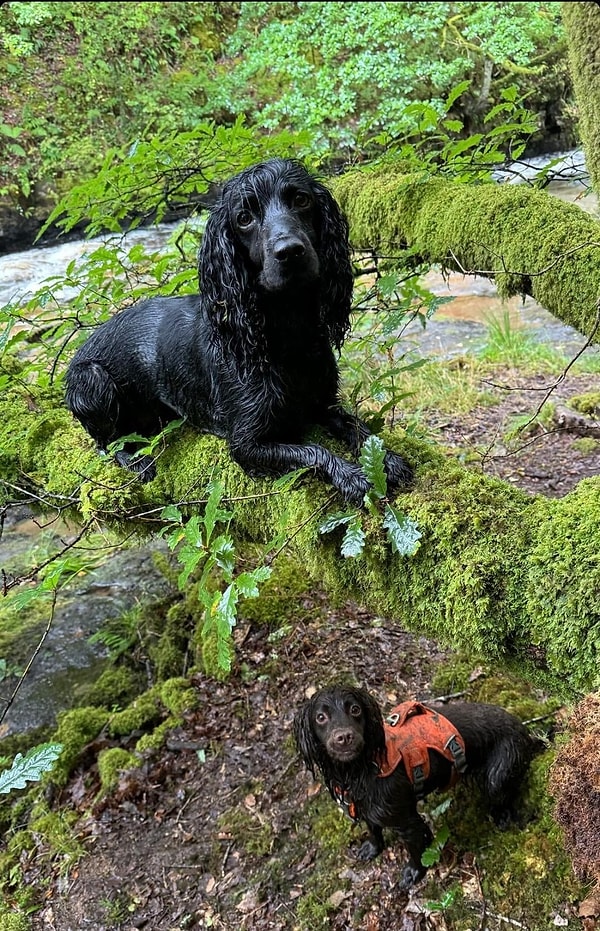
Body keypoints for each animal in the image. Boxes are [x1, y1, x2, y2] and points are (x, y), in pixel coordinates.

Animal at [65, 157, 412, 506]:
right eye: (244, 218)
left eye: (301, 199)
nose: (290, 251)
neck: (286, 333)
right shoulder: (246, 443)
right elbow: (312, 450)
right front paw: (352, 476)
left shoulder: (323, 403)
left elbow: (354, 424)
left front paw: (386, 458)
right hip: (93, 379)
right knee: (106, 444)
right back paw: (137, 461)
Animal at [292, 688, 540, 892]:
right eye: (320, 717)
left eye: (355, 709)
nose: (344, 737)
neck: (360, 770)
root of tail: (523, 728)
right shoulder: (368, 809)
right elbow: (373, 829)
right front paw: (372, 848)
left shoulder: (408, 821)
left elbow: (415, 850)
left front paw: (413, 873)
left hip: (498, 773)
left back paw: (501, 816)